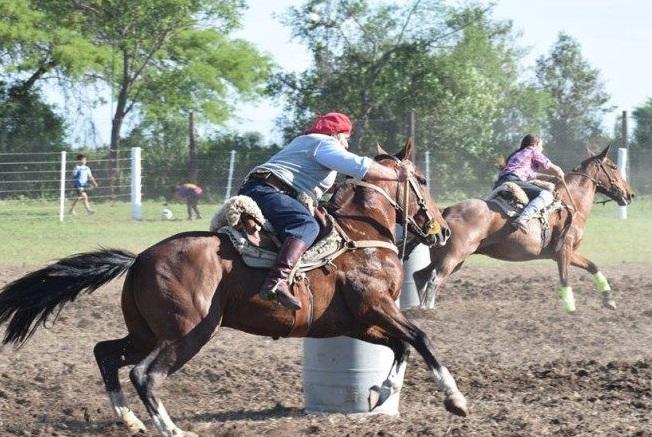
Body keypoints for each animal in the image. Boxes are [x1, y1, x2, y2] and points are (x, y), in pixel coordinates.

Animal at [0, 141, 468, 436]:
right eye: (422, 179)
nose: (442, 230)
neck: (360, 234)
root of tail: (140, 259)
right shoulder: (375, 307)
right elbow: (420, 338)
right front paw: (456, 400)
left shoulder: (354, 322)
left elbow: (401, 346)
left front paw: (381, 394)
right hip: (188, 333)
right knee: (144, 374)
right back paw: (172, 429)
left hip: (146, 332)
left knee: (106, 354)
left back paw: (130, 420)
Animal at [416, 145, 636, 312]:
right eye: (613, 166)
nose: (630, 194)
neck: (569, 204)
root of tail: (447, 210)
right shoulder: (564, 251)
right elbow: (564, 278)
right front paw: (570, 308)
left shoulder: (567, 253)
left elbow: (593, 267)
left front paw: (609, 300)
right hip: (453, 256)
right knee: (434, 278)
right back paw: (428, 310)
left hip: (447, 256)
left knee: (420, 275)